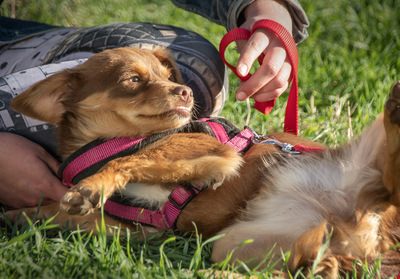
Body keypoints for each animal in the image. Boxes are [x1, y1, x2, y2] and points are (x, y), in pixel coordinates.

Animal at [4, 47, 400, 278]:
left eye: (167, 76)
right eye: (133, 79)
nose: (186, 91)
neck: (110, 142)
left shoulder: (211, 151)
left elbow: (133, 159)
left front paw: (90, 185)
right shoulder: (135, 230)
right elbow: (58, 212)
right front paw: (17, 216)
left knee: (390, 185)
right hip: (236, 246)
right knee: (301, 266)